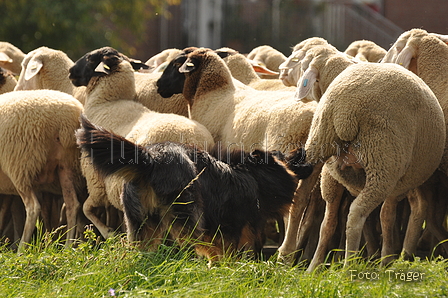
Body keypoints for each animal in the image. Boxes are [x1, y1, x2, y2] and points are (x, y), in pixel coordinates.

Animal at [0, 89, 85, 251]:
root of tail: (64, 121)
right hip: (66, 165)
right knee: (72, 204)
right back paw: (67, 248)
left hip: (20, 164)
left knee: (33, 208)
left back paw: (22, 249)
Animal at [68, 46, 215, 242]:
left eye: (91, 59)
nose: (70, 72)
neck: (107, 101)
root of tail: (194, 141)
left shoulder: (97, 183)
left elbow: (87, 209)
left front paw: (109, 233)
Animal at [76, 115, 312, 262]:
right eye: (282, 155)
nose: (303, 150)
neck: (251, 173)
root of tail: (151, 158)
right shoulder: (243, 228)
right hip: (187, 216)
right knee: (192, 246)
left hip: (141, 223)